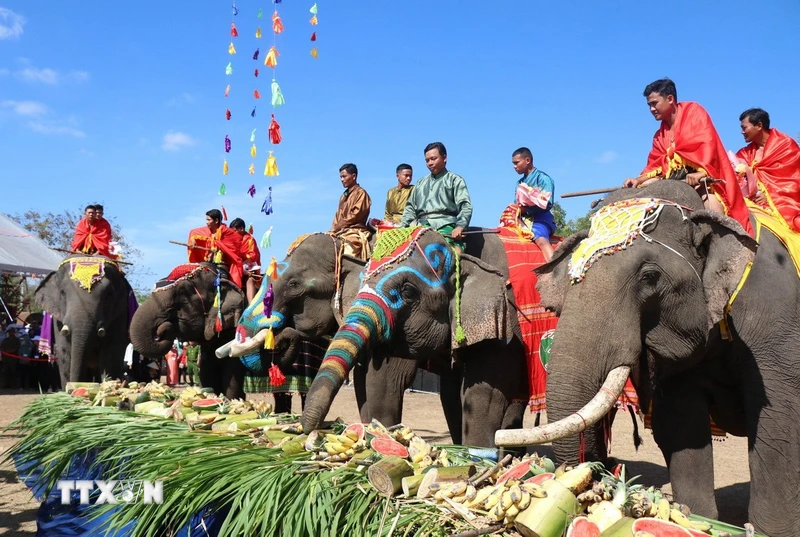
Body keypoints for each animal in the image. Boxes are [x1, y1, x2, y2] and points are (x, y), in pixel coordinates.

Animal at [34, 254, 137, 386]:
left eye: (109, 295)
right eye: (62, 293)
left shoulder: (120, 314)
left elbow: (110, 356)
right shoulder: (58, 322)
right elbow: (65, 353)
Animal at [494, 181, 800, 536]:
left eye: (650, 276)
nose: (498, 440)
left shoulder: (776, 319)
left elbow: (778, 427)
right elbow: (682, 427)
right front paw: (695, 518)